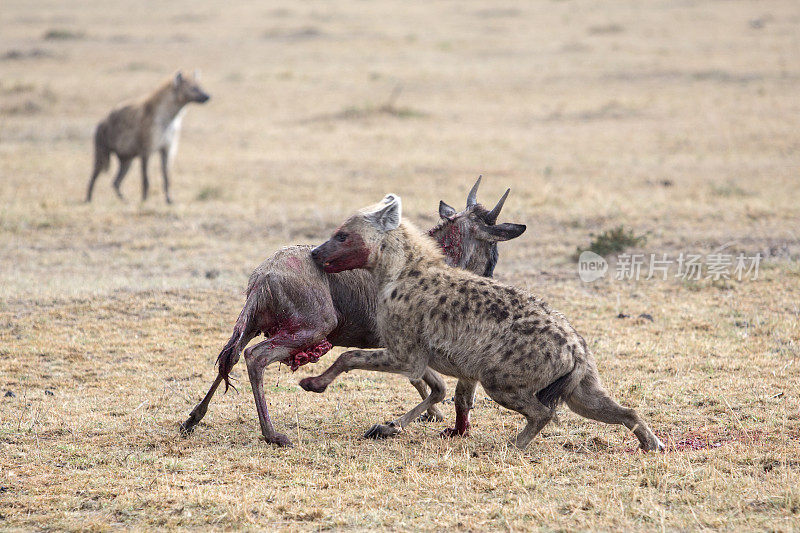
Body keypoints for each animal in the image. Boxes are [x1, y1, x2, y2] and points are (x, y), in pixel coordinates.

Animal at [180, 179, 524, 444]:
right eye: (493, 244)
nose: (490, 277)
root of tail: (265, 275)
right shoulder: (402, 345)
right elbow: (436, 387)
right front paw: (395, 425)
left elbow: (427, 384)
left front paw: (421, 418)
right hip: (311, 329)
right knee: (255, 357)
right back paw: (272, 434)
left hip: (250, 325)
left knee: (230, 357)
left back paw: (193, 418)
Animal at [304, 193, 664, 450]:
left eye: (342, 236)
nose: (314, 253)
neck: (398, 269)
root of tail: (577, 348)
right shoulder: (414, 353)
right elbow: (437, 389)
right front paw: (392, 426)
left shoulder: (408, 354)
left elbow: (353, 358)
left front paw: (315, 383)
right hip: (581, 388)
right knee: (620, 410)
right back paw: (652, 443)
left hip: (500, 381)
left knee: (543, 411)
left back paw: (514, 444)